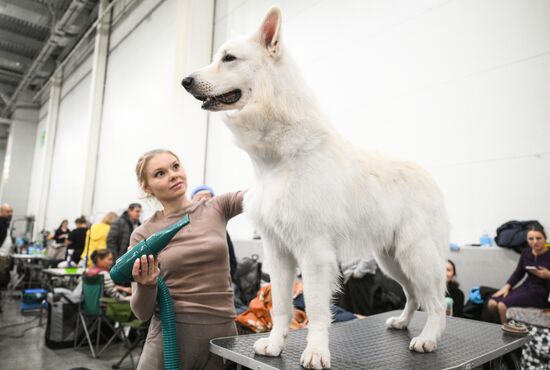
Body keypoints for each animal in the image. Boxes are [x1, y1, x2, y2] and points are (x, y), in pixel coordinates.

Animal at [183, 6, 450, 370]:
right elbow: (281, 307)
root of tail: (431, 178)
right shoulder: (278, 253)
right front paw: (275, 345)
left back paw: (428, 338)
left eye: (229, 58)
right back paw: (402, 322)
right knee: (412, 295)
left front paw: (316, 352)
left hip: (415, 255)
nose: (185, 81)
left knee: (436, 302)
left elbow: (316, 310)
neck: (278, 160)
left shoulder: (314, 254)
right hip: (391, 260)